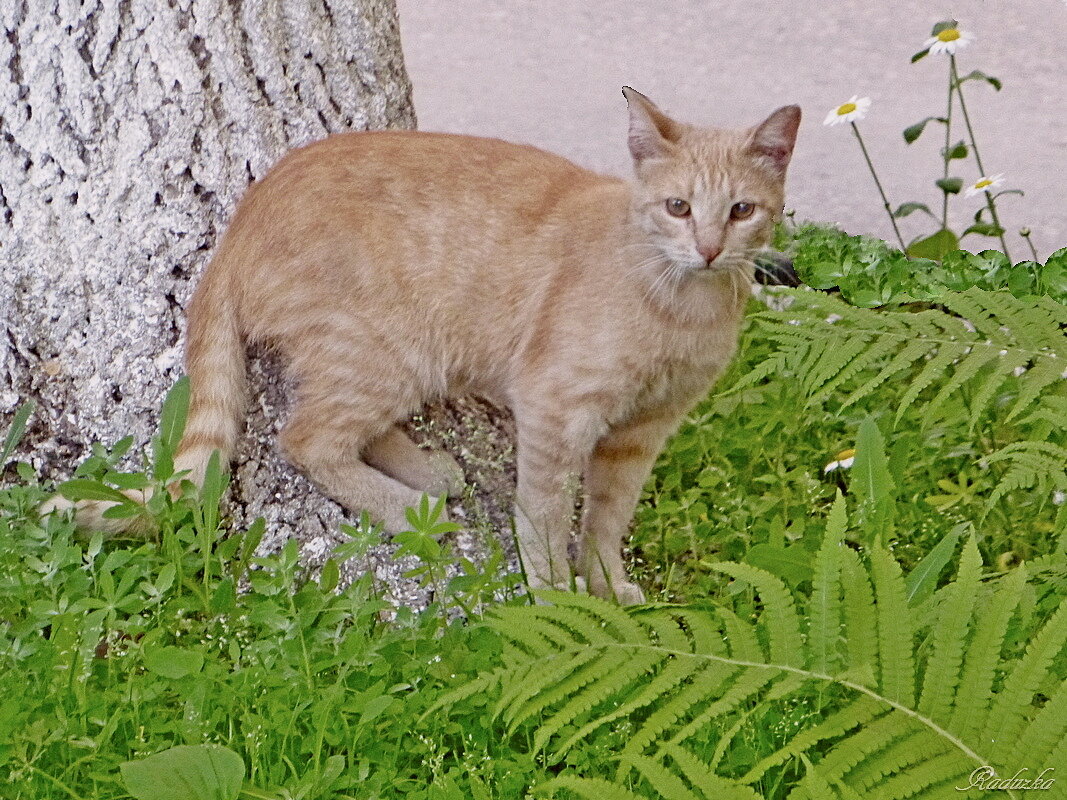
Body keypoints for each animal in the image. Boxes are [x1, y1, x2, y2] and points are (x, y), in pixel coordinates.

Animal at [50, 89, 802, 601]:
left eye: (741, 211)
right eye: (678, 207)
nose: (709, 248)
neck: (678, 302)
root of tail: (240, 222)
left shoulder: (642, 433)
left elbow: (607, 518)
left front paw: (605, 584)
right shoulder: (556, 410)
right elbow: (545, 513)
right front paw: (555, 598)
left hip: (396, 359)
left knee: (341, 429)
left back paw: (427, 475)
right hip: (383, 352)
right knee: (307, 438)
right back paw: (409, 508)